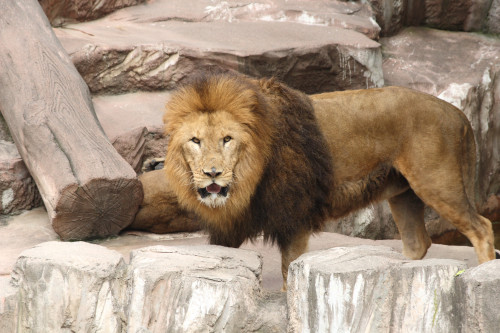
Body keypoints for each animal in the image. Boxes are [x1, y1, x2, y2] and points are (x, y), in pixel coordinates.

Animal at [162, 72, 494, 288]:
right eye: (195, 141)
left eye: (227, 139)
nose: (212, 174)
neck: (247, 180)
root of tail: (456, 111)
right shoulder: (228, 227)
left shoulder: (295, 218)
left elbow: (289, 273)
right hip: (404, 194)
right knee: (418, 243)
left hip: (437, 183)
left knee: (482, 228)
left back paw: (482, 276)